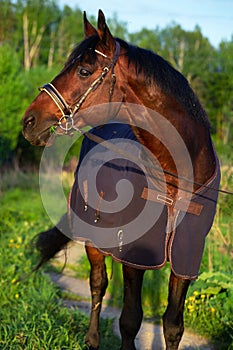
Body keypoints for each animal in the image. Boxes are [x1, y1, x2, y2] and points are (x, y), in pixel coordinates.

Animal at [22, 9, 220, 348]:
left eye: (84, 71)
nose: (29, 121)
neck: (179, 177)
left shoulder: (185, 259)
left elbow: (172, 325)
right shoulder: (135, 257)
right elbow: (130, 320)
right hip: (92, 239)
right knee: (98, 283)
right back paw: (92, 338)